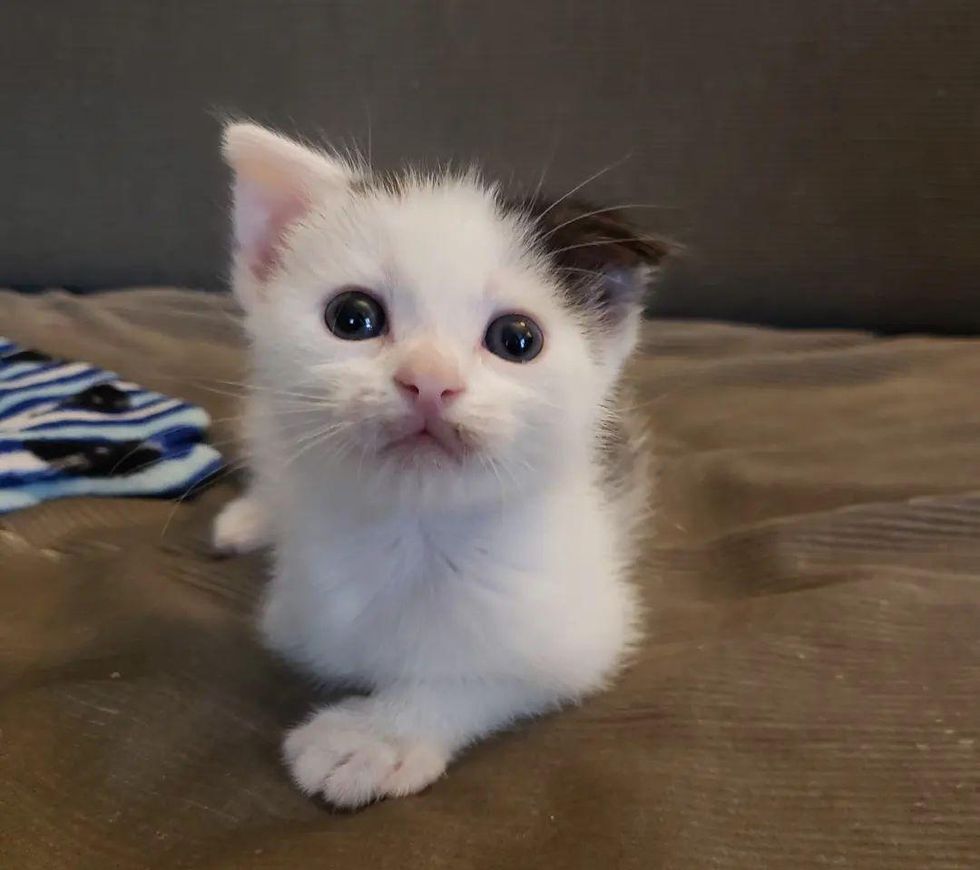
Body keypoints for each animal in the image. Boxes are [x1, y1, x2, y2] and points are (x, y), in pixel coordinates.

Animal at [213, 122, 668, 812]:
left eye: (517, 339)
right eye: (352, 317)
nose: (428, 380)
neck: (416, 534)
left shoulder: (588, 629)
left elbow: (492, 671)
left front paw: (379, 735)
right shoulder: (296, 616)